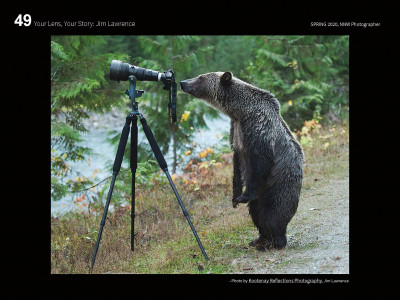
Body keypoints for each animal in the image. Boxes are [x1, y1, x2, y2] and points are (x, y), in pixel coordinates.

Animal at [180, 71, 304, 250]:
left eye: (201, 77)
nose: (183, 82)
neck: (239, 112)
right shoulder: (236, 132)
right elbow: (237, 165)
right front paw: (235, 197)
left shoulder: (258, 129)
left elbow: (260, 162)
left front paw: (243, 196)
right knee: (256, 212)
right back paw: (259, 239)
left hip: (279, 184)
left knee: (273, 212)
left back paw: (274, 241)